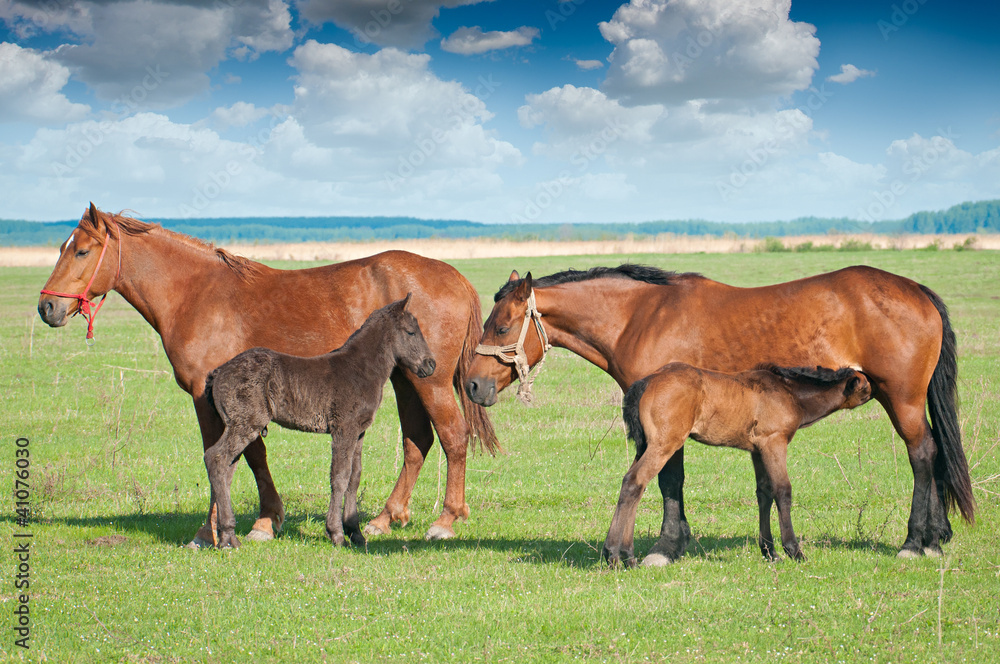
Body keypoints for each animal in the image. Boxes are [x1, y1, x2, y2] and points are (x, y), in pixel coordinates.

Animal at [204, 295, 436, 549]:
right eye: (411, 332)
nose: (431, 365)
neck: (361, 369)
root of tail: (218, 372)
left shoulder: (359, 432)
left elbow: (354, 477)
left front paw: (356, 533)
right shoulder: (343, 429)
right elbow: (340, 477)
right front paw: (337, 534)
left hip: (238, 426)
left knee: (226, 469)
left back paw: (227, 537)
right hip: (246, 424)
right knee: (215, 458)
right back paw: (227, 534)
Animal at [604, 363, 873, 567]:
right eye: (867, 386)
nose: (877, 392)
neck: (789, 393)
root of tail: (646, 382)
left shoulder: (757, 450)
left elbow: (764, 492)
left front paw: (770, 552)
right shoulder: (774, 442)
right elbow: (783, 491)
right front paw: (793, 551)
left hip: (645, 445)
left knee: (631, 483)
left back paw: (620, 554)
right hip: (664, 443)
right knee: (635, 482)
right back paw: (618, 555)